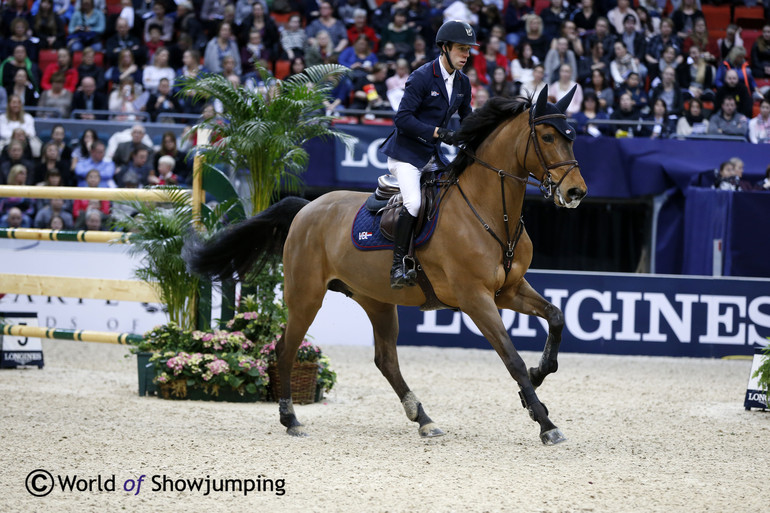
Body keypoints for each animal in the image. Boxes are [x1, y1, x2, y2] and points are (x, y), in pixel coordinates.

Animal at [189, 85, 584, 444]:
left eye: (572, 137)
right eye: (547, 136)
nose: (575, 192)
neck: (489, 212)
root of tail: (306, 207)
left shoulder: (509, 290)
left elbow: (556, 317)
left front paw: (538, 376)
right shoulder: (475, 298)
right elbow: (511, 357)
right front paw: (545, 422)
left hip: (375, 299)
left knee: (385, 360)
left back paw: (424, 419)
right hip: (306, 296)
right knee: (286, 348)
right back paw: (291, 419)